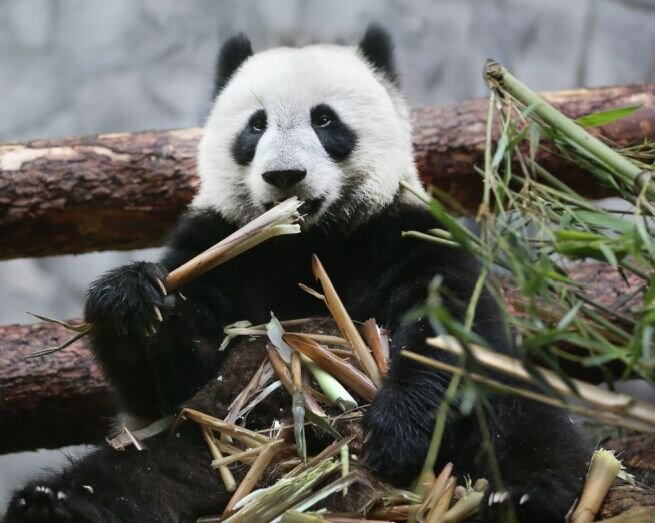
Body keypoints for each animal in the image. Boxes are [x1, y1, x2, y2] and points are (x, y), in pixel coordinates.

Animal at [3, 25, 588, 523]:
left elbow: (446, 326)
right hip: (202, 445)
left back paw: (519, 497)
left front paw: (395, 434)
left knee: (527, 430)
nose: (284, 175)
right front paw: (131, 301)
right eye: (255, 125)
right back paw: (53, 505)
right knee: (129, 475)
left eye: (325, 120)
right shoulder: (221, 245)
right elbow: (170, 380)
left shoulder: (403, 232)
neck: (308, 241)